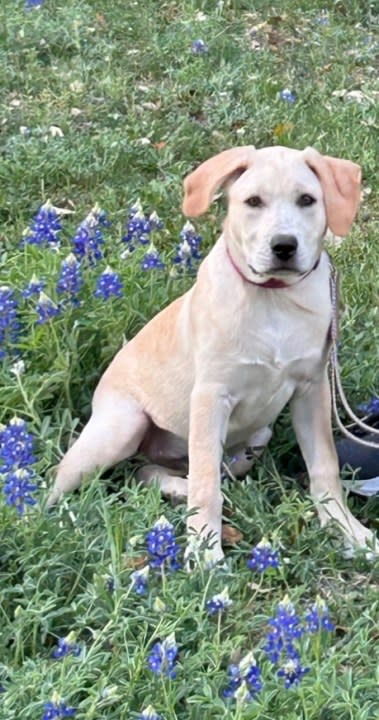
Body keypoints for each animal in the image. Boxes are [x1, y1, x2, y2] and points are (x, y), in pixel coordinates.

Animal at [48, 146, 379, 564]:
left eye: (307, 200)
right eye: (253, 201)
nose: (284, 246)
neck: (274, 298)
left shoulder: (312, 389)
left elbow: (325, 467)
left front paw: (346, 530)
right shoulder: (210, 396)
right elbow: (206, 486)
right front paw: (204, 550)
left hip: (256, 437)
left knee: (151, 471)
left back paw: (175, 487)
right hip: (122, 426)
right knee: (62, 480)